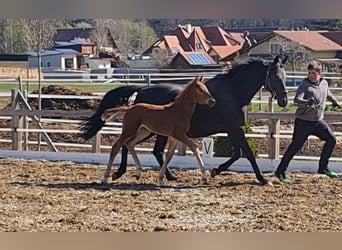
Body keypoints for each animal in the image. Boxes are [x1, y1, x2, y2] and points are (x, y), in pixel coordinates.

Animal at [81, 56, 288, 186]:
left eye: (285, 76)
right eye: (275, 76)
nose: (284, 101)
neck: (232, 92)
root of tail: (142, 89)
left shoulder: (232, 129)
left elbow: (238, 154)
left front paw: (215, 171)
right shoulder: (234, 128)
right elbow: (248, 154)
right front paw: (262, 179)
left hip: (151, 131)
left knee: (146, 149)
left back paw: (167, 176)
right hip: (149, 130)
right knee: (131, 146)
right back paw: (120, 173)